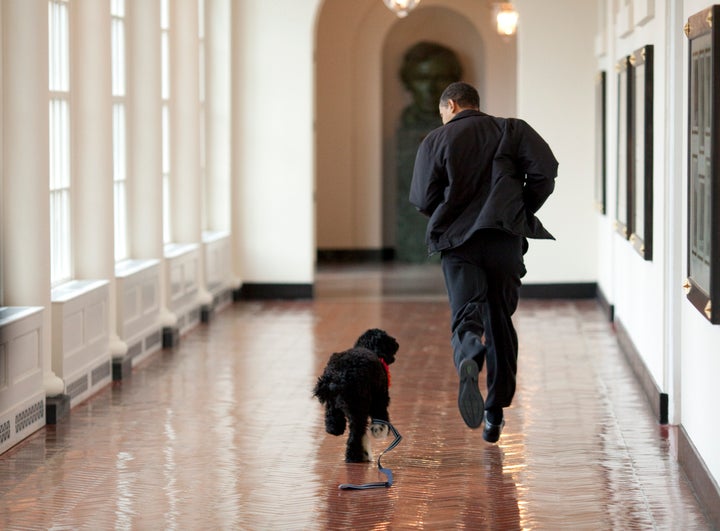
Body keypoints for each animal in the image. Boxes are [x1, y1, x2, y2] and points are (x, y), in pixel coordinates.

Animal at [312, 330, 400, 464]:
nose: (396, 343)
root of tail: (339, 375)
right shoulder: (380, 399)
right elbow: (381, 418)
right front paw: (379, 431)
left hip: (335, 404)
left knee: (333, 420)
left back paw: (335, 430)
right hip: (359, 408)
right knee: (355, 435)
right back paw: (354, 456)